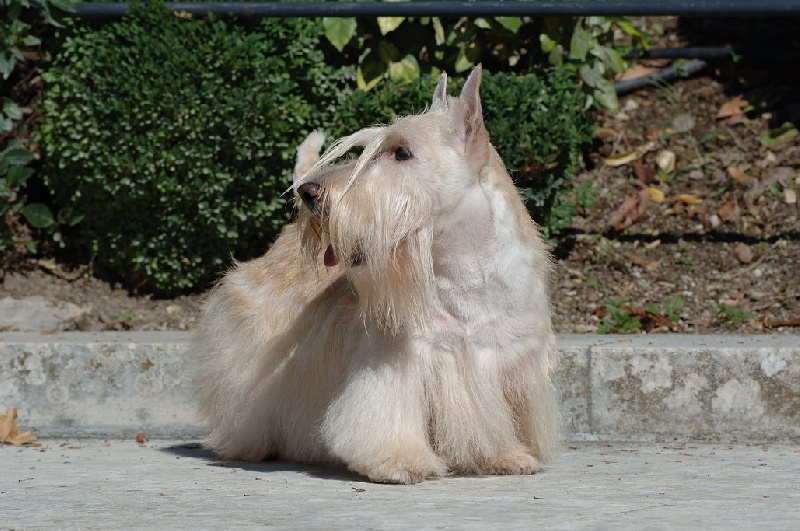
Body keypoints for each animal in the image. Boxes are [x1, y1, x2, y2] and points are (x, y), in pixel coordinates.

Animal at [193, 64, 556, 484]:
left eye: (402, 152)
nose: (309, 193)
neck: (464, 272)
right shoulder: (399, 360)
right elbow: (389, 416)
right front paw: (400, 462)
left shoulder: (507, 361)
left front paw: (507, 456)